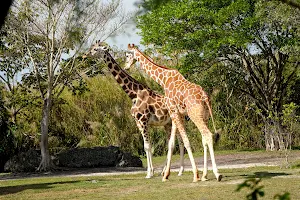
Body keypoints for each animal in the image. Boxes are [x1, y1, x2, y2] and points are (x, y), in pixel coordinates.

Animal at [82, 40, 185, 178]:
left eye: (95, 49)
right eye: (92, 48)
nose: (84, 55)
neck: (134, 94)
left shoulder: (143, 121)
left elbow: (147, 146)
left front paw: (149, 173)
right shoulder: (138, 122)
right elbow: (146, 146)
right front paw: (151, 172)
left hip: (176, 121)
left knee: (181, 142)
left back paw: (180, 171)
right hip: (167, 124)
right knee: (172, 142)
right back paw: (164, 171)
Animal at [125, 44, 223, 183]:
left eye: (127, 55)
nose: (126, 66)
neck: (163, 79)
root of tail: (205, 97)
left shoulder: (173, 112)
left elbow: (185, 142)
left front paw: (195, 175)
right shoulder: (176, 113)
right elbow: (171, 143)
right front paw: (166, 175)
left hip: (195, 116)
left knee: (208, 135)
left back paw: (216, 174)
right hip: (205, 116)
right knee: (204, 138)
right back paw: (205, 175)